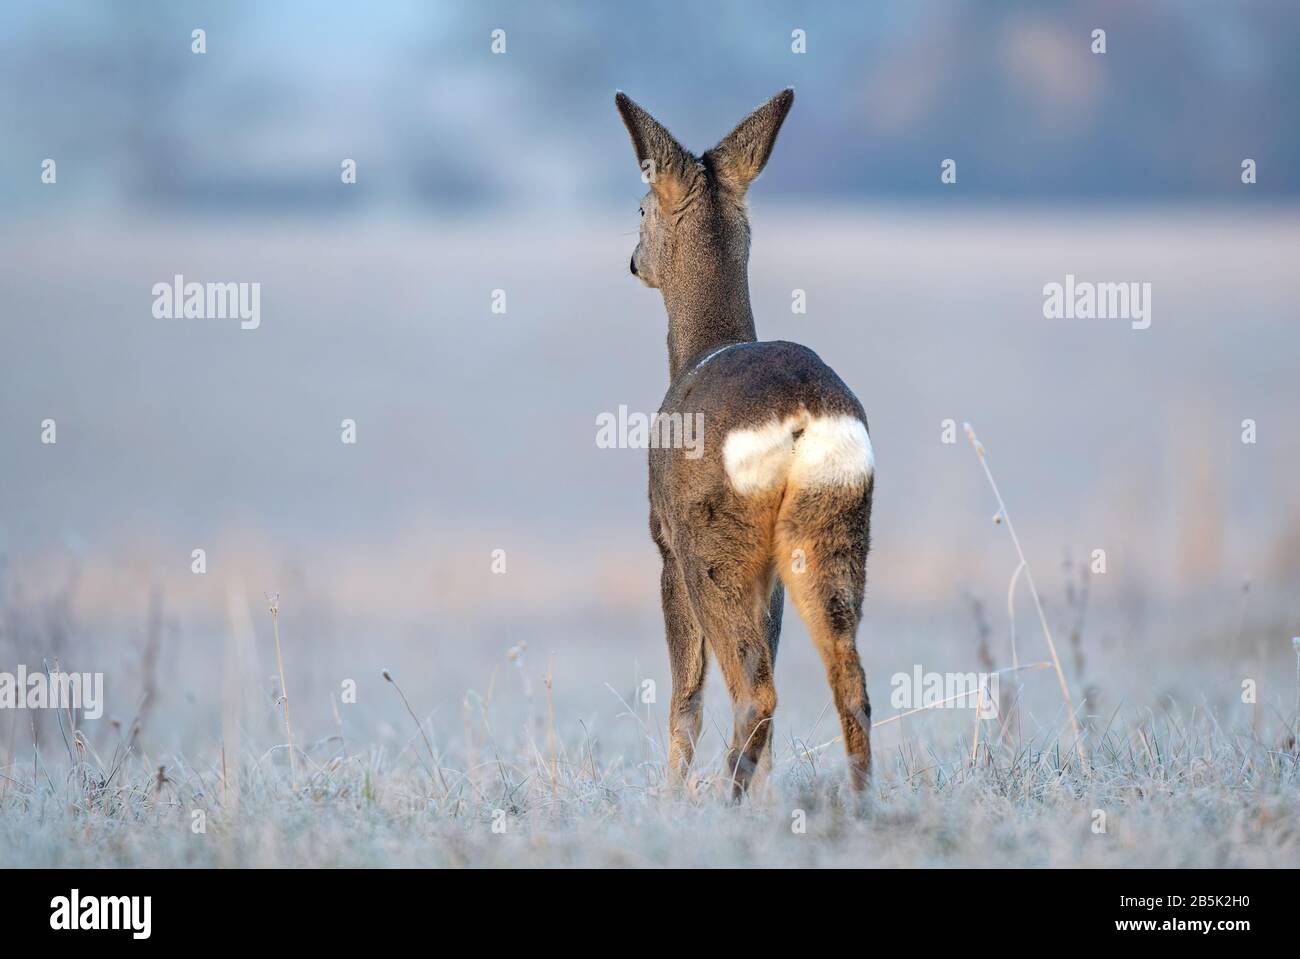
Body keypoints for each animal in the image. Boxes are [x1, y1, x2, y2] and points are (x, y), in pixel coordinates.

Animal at [616, 87, 873, 790]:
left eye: (641, 206)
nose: (632, 260)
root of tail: (801, 413)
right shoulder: (773, 576)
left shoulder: (664, 544)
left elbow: (684, 701)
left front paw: (670, 796)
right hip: (830, 528)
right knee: (849, 680)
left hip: (712, 543)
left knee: (752, 693)